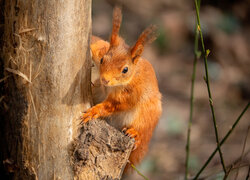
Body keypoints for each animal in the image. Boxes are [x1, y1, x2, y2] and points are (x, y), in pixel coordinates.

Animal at [83, 6, 163, 173]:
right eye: (102, 60)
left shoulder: (131, 94)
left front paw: (95, 111)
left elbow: (115, 104)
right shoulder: (100, 48)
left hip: (147, 115)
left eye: (125, 70)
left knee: (141, 132)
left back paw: (135, 133)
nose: (105, 79)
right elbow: (96, 44)